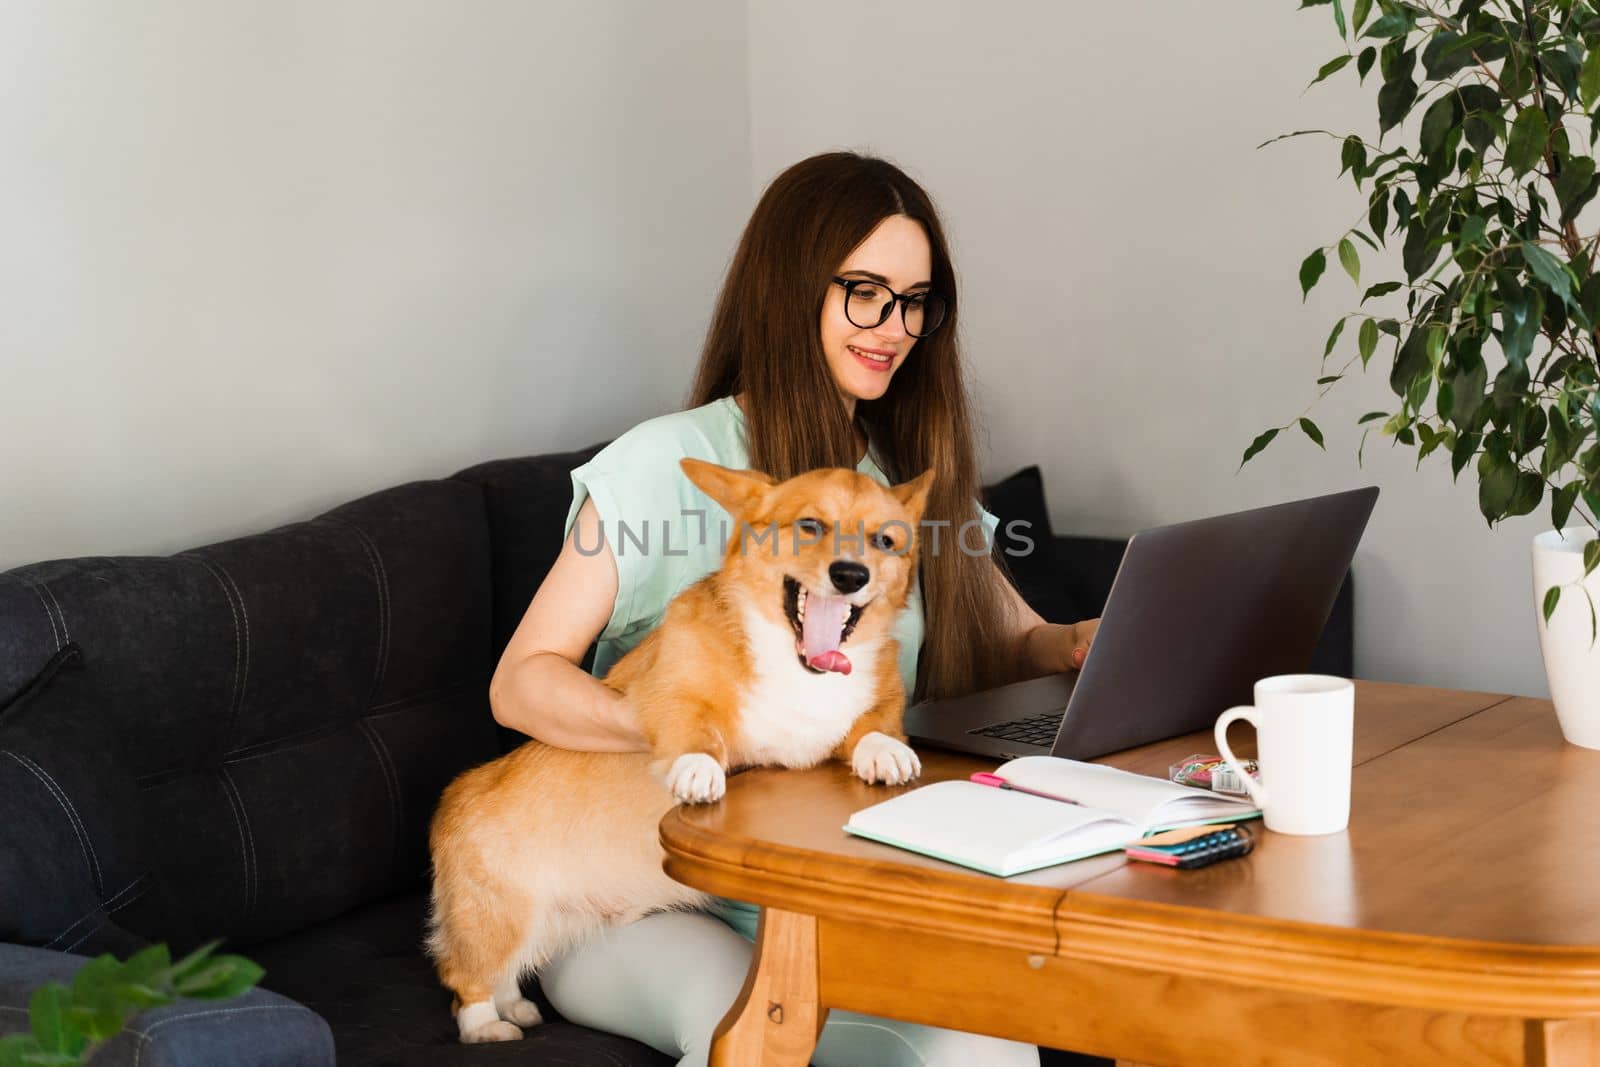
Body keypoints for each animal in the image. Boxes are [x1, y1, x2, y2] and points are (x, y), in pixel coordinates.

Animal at [428, 457, 934, 1043]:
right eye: (809, 525)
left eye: (884, 540)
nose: (851, 575)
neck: (798, 663)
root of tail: (453, 800)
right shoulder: (666, 686)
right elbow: (692, 722)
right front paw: (698, 767)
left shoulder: (871, 701)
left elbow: (875, 722)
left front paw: (885, 750)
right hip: (499, 915)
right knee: (465, 979)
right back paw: (488, 1026)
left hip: (537, 923)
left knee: (509, 970)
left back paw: (516, 1008)